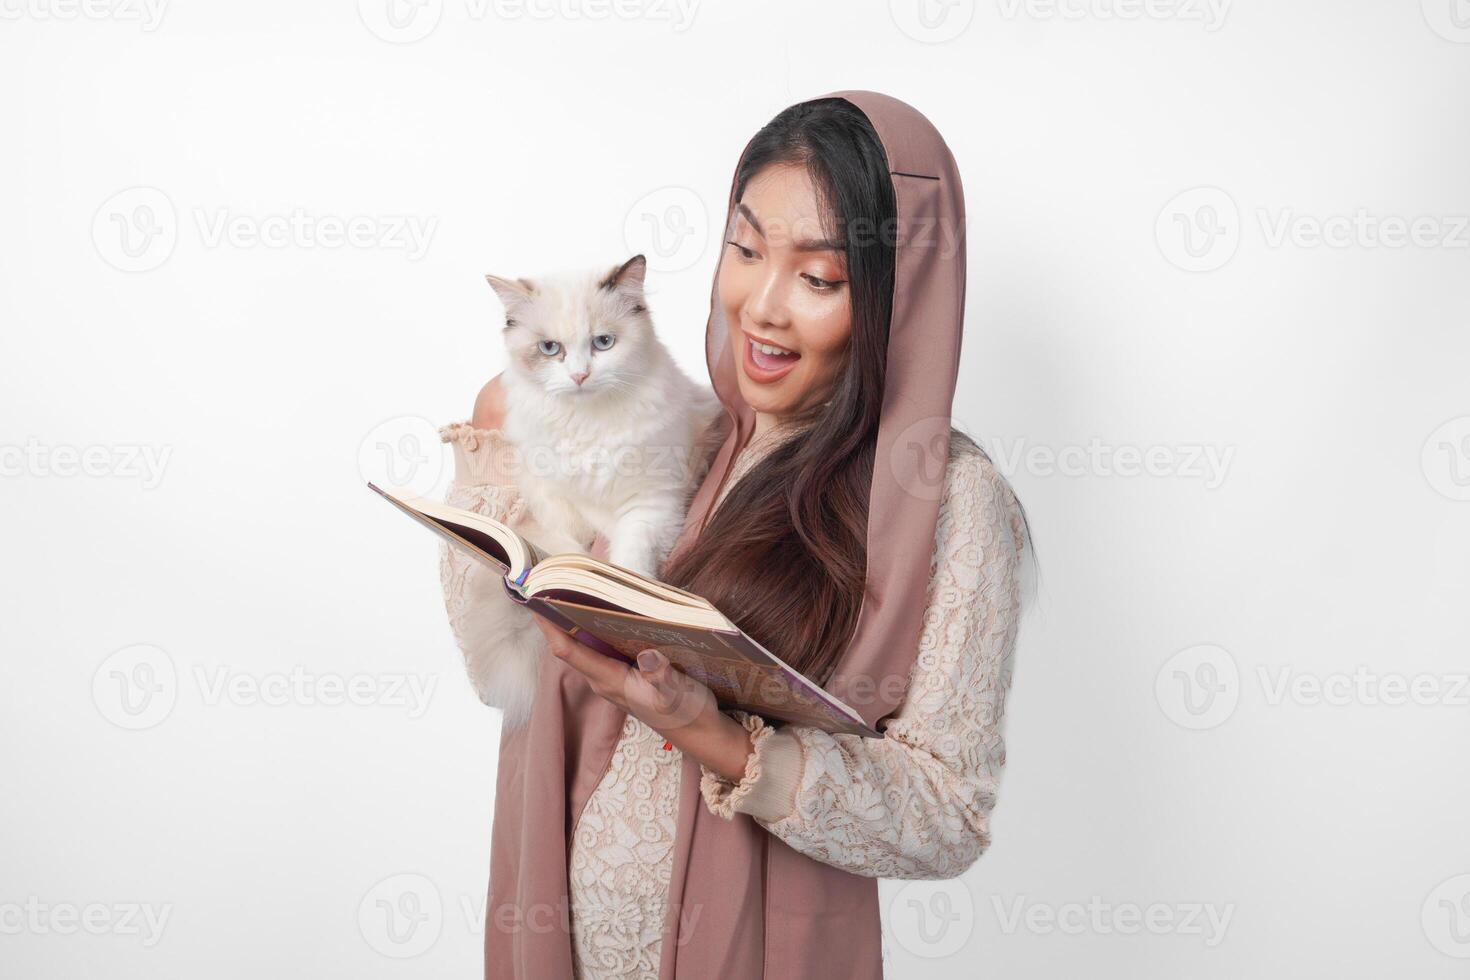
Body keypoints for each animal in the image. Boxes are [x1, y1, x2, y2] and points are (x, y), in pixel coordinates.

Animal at [446, 252, 723, 728]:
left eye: (603, 343)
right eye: (549, 349)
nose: (578, 375)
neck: (587, 421)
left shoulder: (652, 504)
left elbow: (629, 566)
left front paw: (614, 602)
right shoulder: (554, 500)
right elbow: (562, 549)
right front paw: (549, 586)